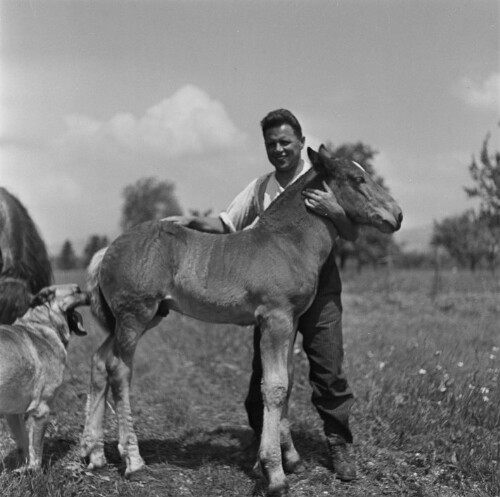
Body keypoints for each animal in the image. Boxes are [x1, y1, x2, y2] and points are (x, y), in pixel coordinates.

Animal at [0, 282, 89, 468]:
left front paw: (22, 469)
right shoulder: (41, 410)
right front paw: (34, 472)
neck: (41, 324)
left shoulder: (12, 414)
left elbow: (24, 443)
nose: (95, 294)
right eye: (77, 290)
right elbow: (36, 450)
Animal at [82, 145, 402, 494]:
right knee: (119, 370)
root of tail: (107, 249)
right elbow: (275, 386)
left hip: (141, 318)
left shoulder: (290, 322)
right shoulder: (276, 319)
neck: (288, 242)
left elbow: (286, 382)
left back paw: (94, 454)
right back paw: (133, 460)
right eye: (356, 178)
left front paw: (291, 460)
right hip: (135, 316)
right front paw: (274, 473)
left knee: (99, 361)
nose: (397, 215)